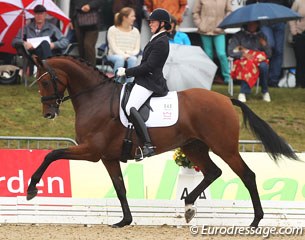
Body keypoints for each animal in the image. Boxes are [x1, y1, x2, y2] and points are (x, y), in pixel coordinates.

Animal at [27, 54, 298, 229]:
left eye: (45, 81)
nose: (48, 113)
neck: (96, 98)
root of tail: (225, 99)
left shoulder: (92, 151)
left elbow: (52, 154)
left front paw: (31, 190)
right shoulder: (108, 157)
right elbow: (120, 188)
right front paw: (124, 221)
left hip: (225, 147)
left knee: (247, 175)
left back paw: (255, 221)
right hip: (194, 146)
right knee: (213, 172)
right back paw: (189, 206)